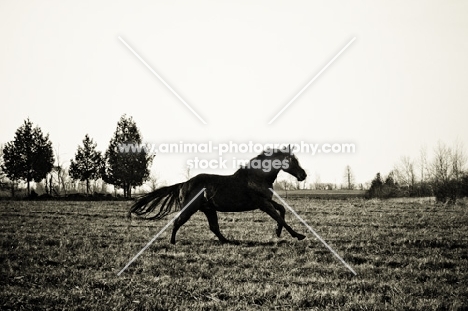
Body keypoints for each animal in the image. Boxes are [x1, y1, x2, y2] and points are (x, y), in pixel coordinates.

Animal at [128, 149, 308, 246]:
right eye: (291, 160)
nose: (303, 175)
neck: (257, 177)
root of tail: (184, 183)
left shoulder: (266, 201)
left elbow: (282, 210)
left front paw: (278, 232)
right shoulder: (263, 203)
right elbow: (279, 216)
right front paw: (298, 235)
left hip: (209, 209)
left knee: (214, 227)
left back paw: (228, 241)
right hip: (191, 209)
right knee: (178, 222)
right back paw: (172, 242)